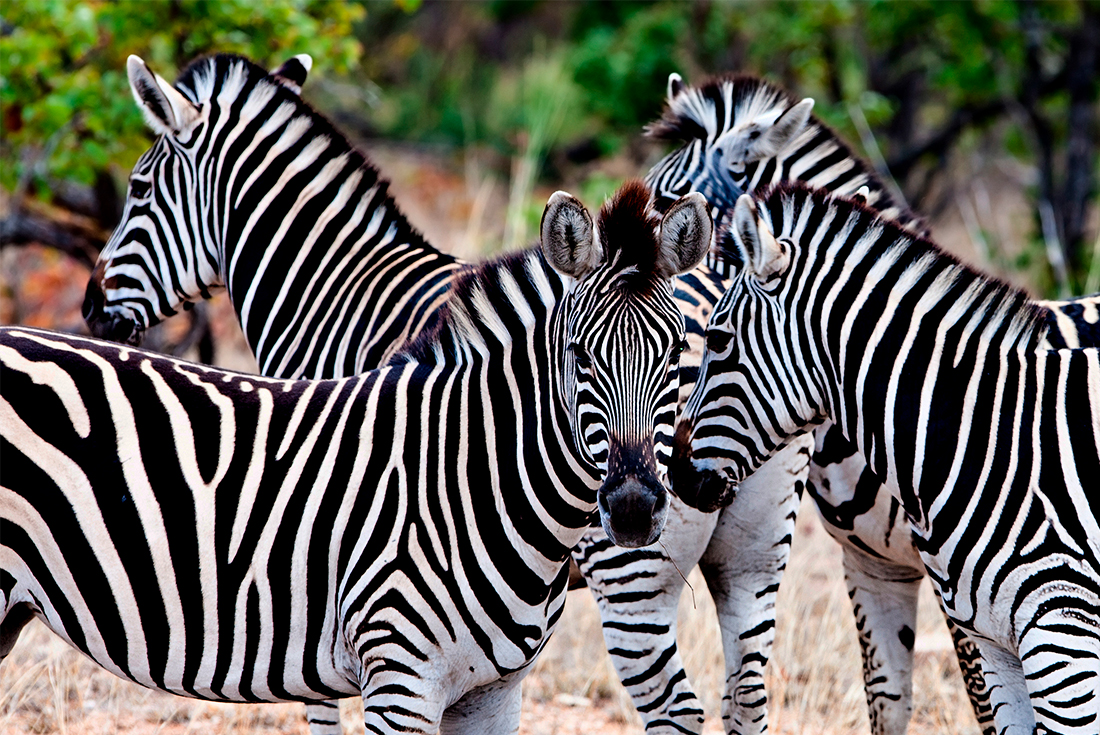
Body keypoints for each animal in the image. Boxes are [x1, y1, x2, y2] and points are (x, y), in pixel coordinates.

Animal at [0, 180, 712, 735]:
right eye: (578, 355)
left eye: (679, 354)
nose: (632, 510)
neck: (468, 473)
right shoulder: (398, 679)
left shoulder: (493, 693)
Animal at [83, 52, 812, 734]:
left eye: (138, 188)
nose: (90, 309)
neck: (334, 291)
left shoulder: (312, 550)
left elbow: (318, 706)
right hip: (756, 551)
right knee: (746, 693)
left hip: (632, 565)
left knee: (675, 706)